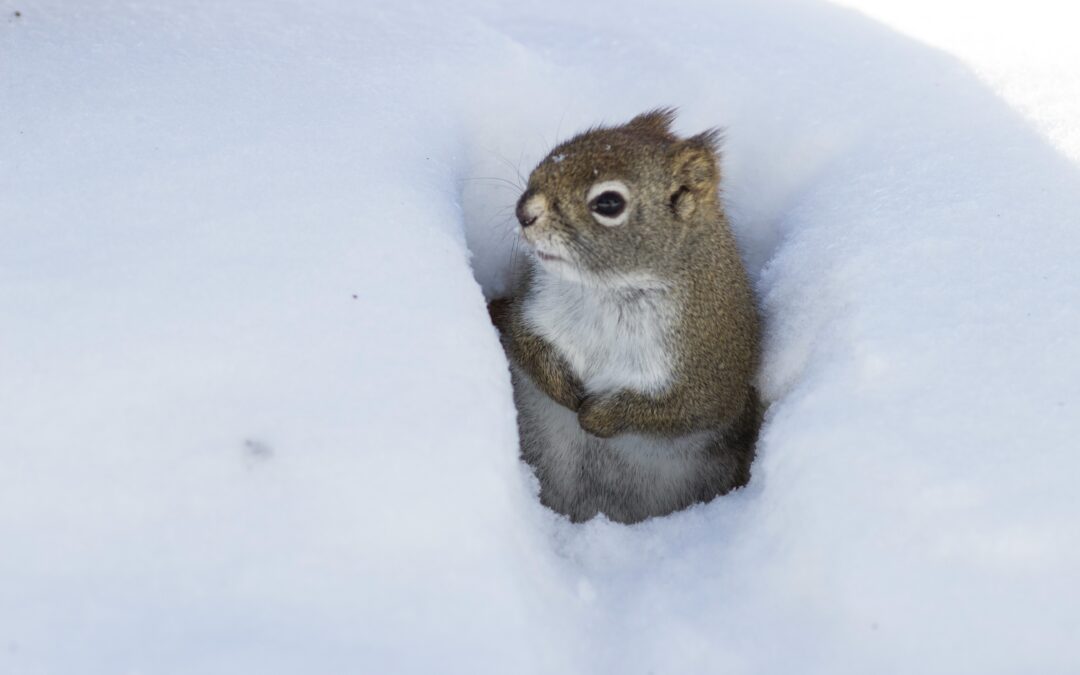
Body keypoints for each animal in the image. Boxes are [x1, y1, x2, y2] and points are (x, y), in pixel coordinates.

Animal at [489, 109, 762, 524]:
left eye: (609, 203)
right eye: (558, 150)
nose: (524, 211)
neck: (608, 291)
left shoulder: (708, 378)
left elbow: (675, 412)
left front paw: (595, 417)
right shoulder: (529, 307)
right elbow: (523, 343)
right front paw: (566, 391)